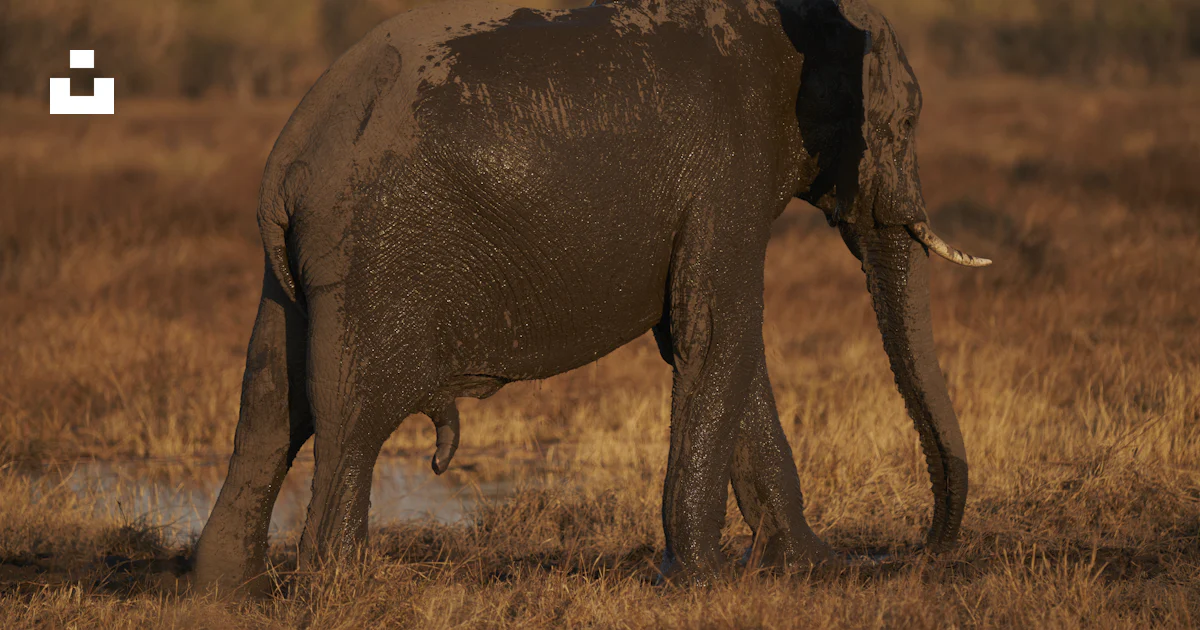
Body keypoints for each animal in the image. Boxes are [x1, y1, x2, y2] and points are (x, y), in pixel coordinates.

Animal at [193, 0, 990, 592]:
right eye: (906, 123)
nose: (917, 553)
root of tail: (286, 162)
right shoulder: (729, 161)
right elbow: (715, 328)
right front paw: (700, 581)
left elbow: (715, 343)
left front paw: (803, 567)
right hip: (371, 252)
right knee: (353, 418)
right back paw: (343, 585)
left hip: (299, 275)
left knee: (269, 405)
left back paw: (228, 591)